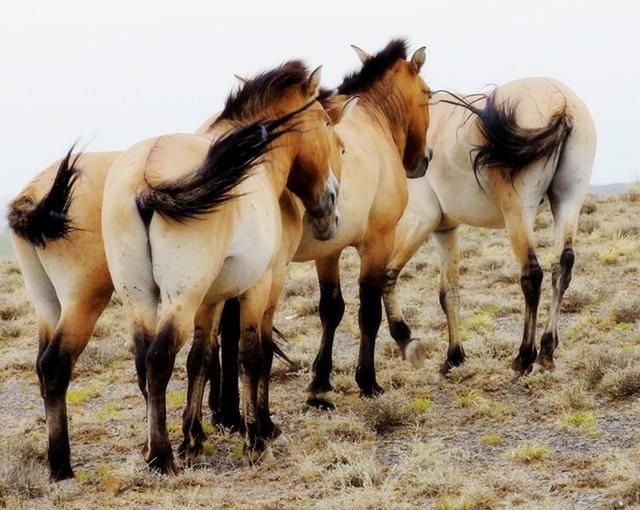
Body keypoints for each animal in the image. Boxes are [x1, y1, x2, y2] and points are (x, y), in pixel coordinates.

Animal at [102, 60, 344, 474]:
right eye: (326, 124)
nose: (330, 201)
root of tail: (146, 174)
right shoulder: (263, 284)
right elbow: (254, 354)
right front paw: (258, 435)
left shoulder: (212, 299)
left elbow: (201, 357)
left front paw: (194, 438)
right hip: (181, 298)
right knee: (159, 359)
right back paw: (162, 457)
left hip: (140, 298)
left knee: (142, 362)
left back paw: (153, 447)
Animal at [380, 78, 596, 374]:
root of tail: (561, 101)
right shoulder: (445, 231)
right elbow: (449, 293)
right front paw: (454, 357)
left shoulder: (420, 221)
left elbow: (387, 276)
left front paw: (406, 339)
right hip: (568, 201)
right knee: (561, 267)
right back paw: (547, 351)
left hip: (519, 212)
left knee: (532, 275)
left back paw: (524, 357)